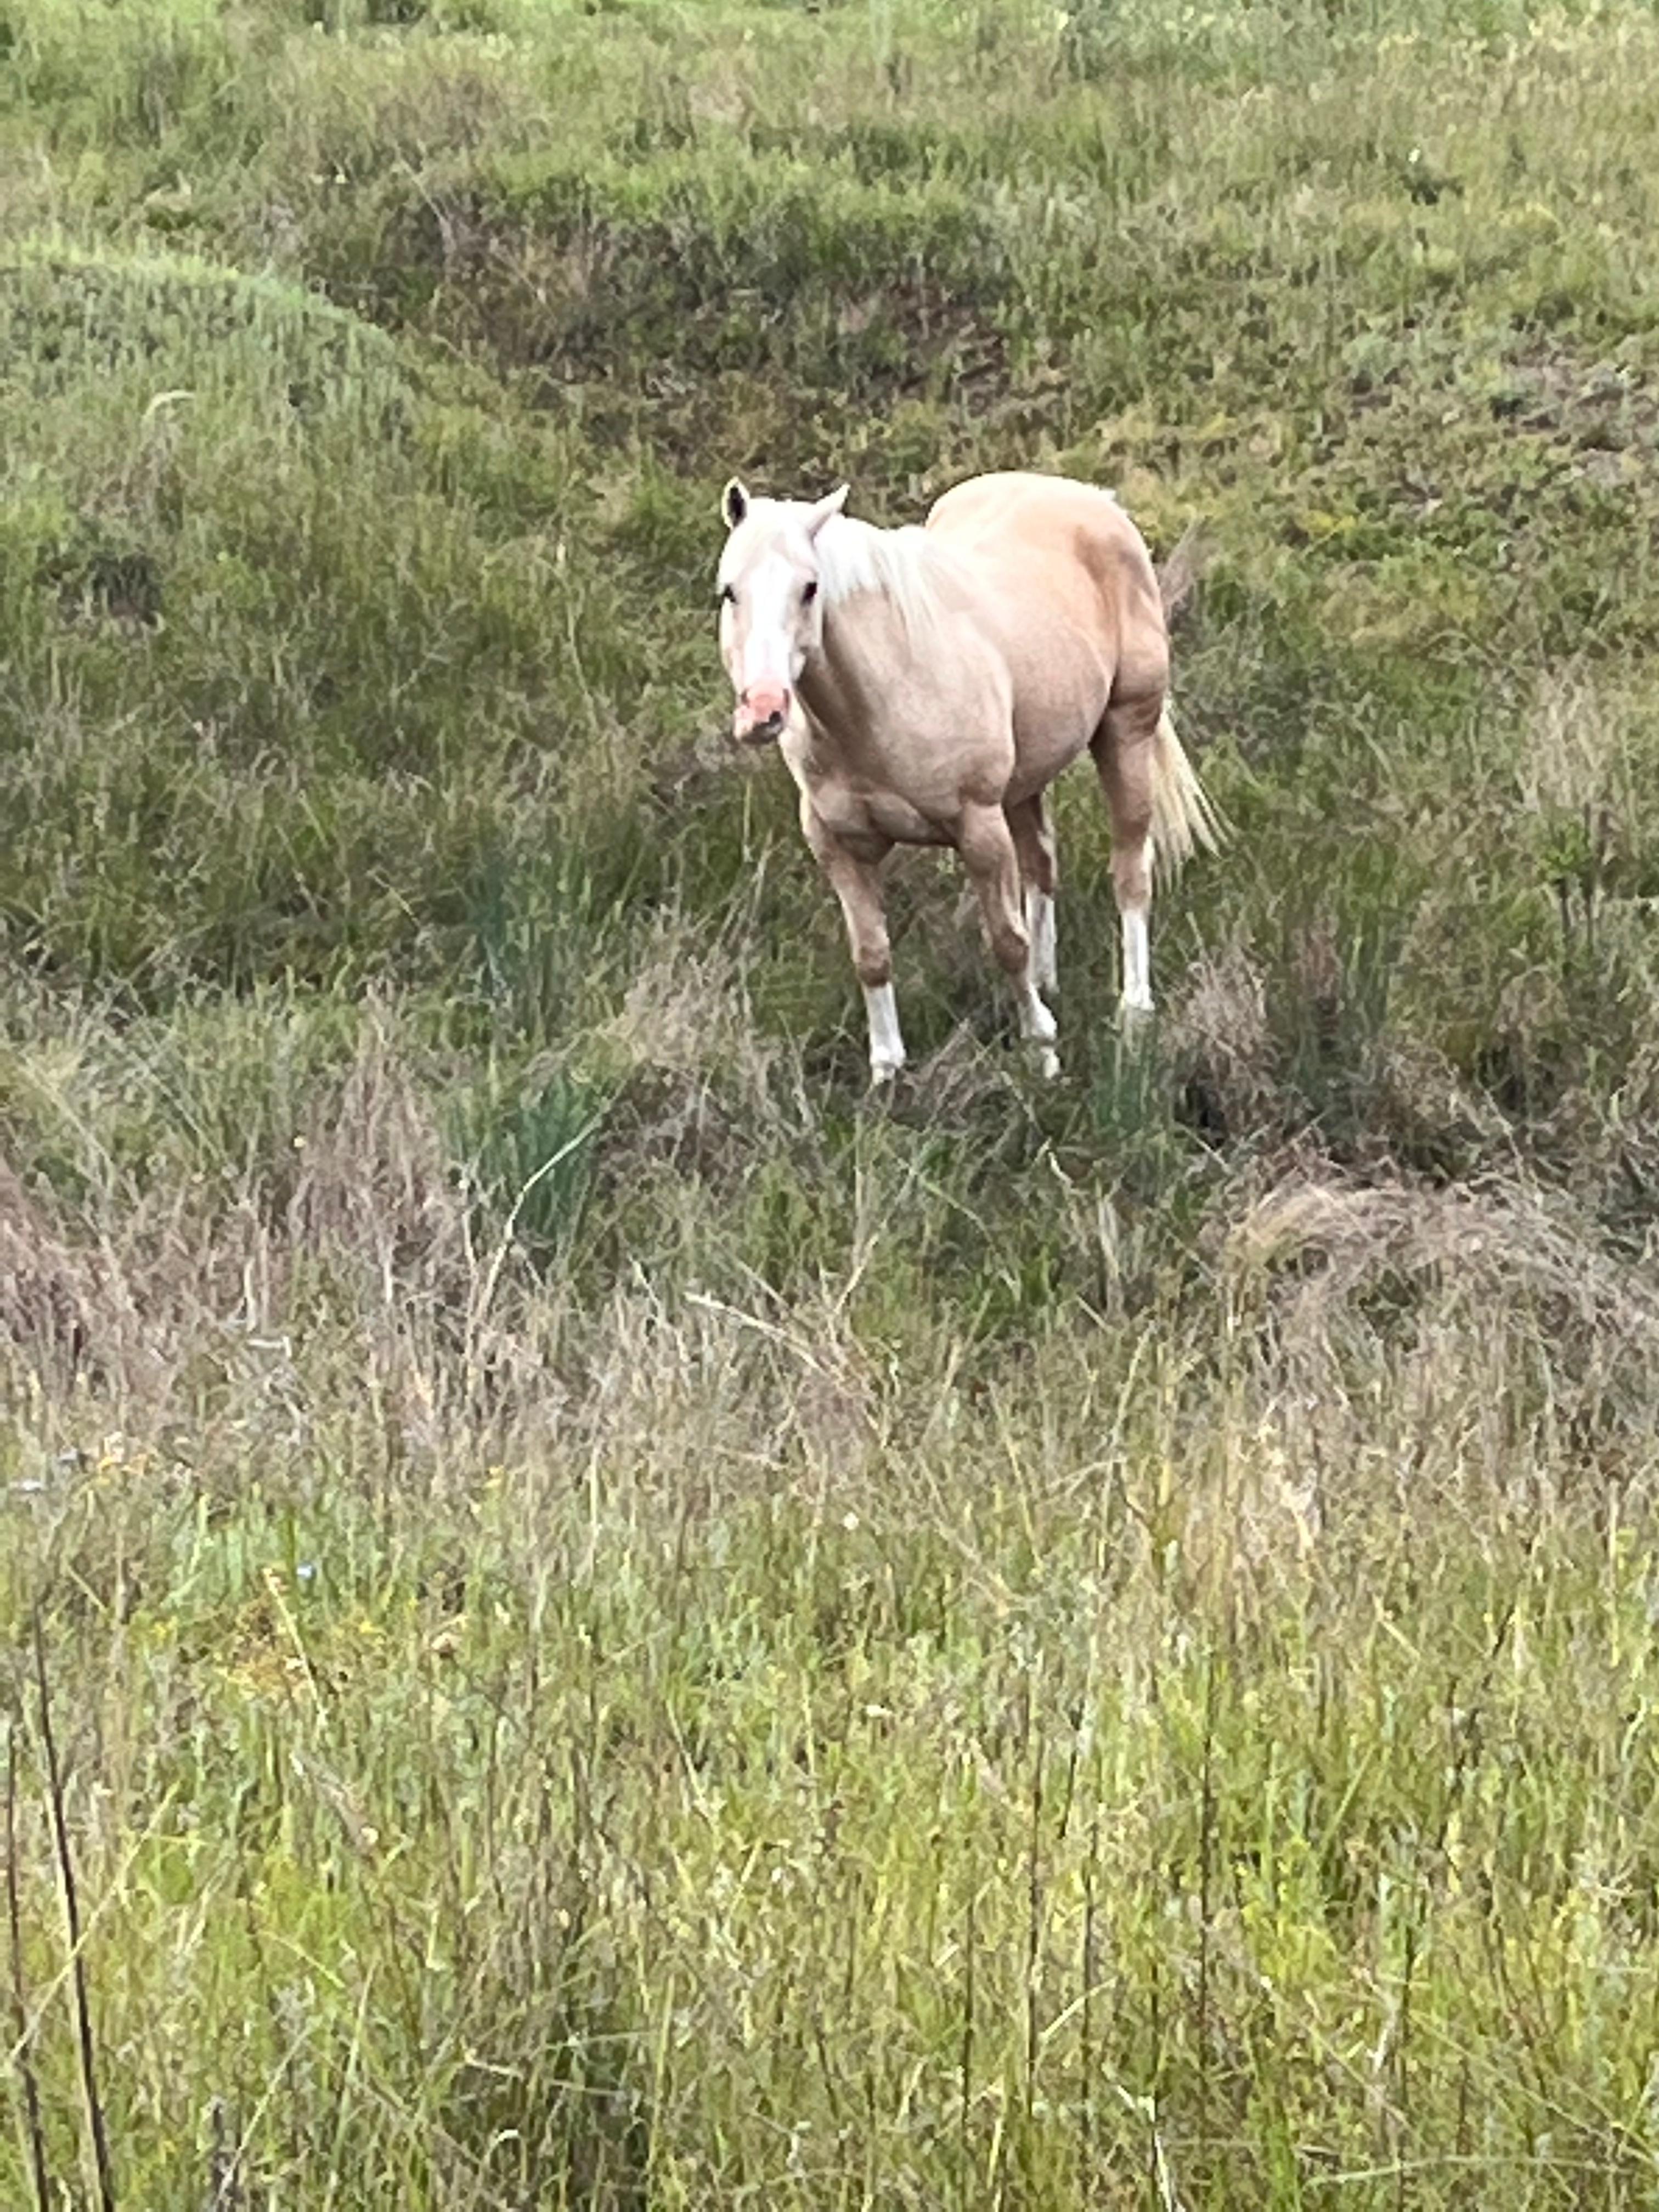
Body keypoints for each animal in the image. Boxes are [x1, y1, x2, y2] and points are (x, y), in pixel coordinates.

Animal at [713, 469, 1219, 1085]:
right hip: (1026, 782)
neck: (885, 696)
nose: (763, 711)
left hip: (1126, 733)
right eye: (729, 591)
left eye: (810, 588)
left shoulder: (979, 831)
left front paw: (1042, 1050)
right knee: (1042, 863)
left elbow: (1007, 942)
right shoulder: (837, 846)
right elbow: (871, 955)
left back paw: (1135, 1008)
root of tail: (1092, 499)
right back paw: (1050, 982)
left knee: (1130, 871)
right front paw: (887, 1070)